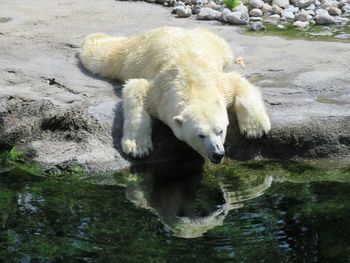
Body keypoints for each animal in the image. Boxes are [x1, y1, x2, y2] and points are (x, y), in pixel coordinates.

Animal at [79, 26, 270, 163]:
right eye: (201, 135)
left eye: (220, 130)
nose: (217, 154)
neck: (192, 83)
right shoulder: (158, 93)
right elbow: (136, 89)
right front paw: (138, 147)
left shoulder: (218, 83)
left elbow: (237, 82)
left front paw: (255, 129)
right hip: (134, 55)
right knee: (103, 58)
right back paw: (94, 38)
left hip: (214, 46)